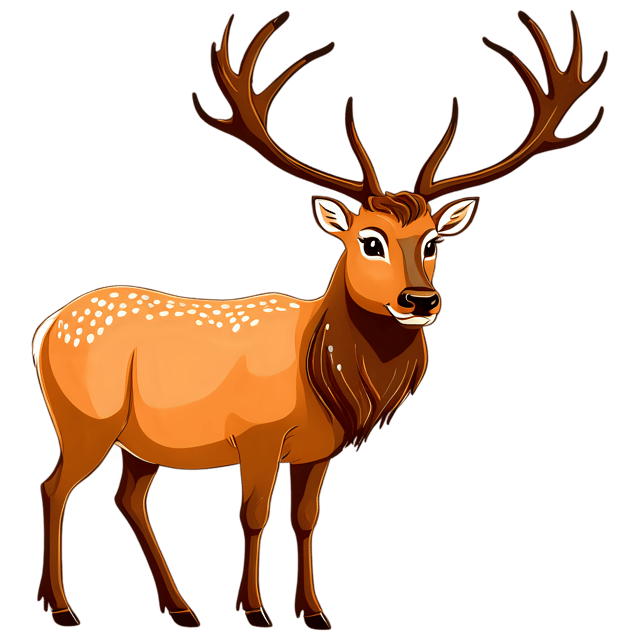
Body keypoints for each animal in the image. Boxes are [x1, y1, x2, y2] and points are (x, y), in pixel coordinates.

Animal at [32, 9, 607, 631]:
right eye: (370, 240)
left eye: (432, 241)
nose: (420, 300)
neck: (326, 381)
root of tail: (42, 330)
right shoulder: (257, 434)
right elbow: (253, 514)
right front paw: (255, 610)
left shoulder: (316, 451)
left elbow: (305, 519)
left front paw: (313, 611)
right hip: (86, 419)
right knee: (54, 487)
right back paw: (62, 607)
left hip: (138, 443)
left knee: (128, 498)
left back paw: (180, 607)